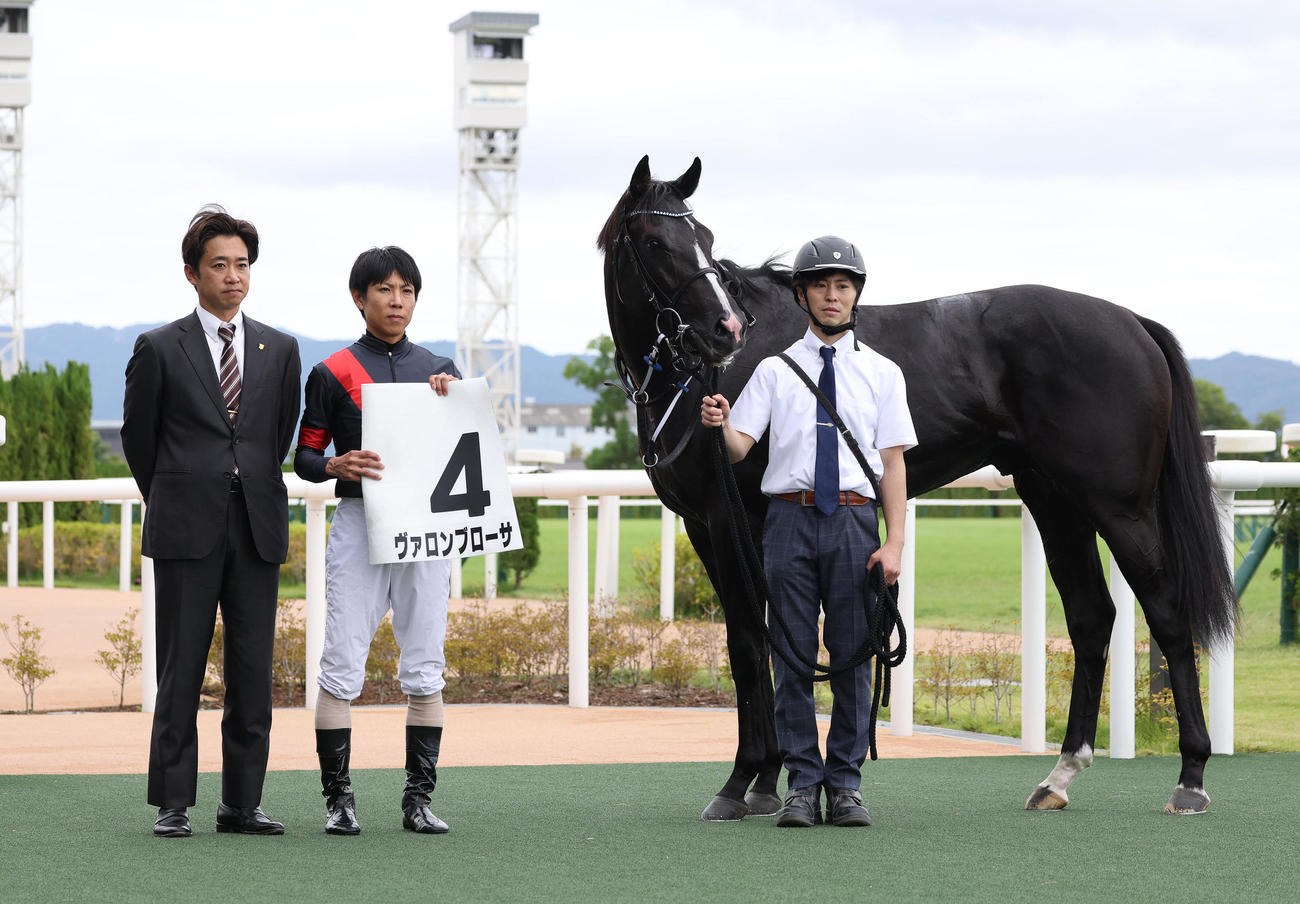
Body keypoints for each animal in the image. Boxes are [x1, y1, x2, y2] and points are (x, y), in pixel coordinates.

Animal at [597, 155, 1237, 821]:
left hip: (1119, 507)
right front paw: (769, 782)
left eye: (704, 238)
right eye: (655, 241)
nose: (725, 329)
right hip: (1056, 501)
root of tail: (1131, 322)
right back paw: (1059, 776)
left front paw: (739, 781)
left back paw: (1190, 778)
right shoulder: (709, 526)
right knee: (1091, 617)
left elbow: (748, 645)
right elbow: (770, 644)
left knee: (1166, 612)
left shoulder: (730, 520)